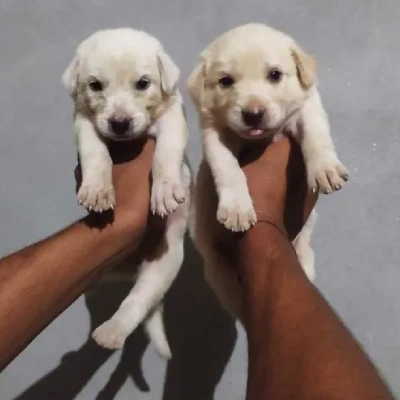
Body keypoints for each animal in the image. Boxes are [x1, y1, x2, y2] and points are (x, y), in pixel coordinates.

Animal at [63, 28, 191, 360]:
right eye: (95, 85)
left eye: (143, 83)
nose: (119, 123)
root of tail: (131, 268)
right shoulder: (84, 121)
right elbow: (94, 151)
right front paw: (97, 190)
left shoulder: (173, 116)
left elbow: (166, 152)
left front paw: (165, 190)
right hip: (108, 271)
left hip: (165, 262)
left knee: (137, 301)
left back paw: (111, 333)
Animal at [188, 21, 346, 322]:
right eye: (225, 81)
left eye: (275, 75)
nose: (253, 114)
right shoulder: (215, 133)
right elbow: (227, 168)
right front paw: (237, 209)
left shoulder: (307, 105)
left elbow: (315, 133)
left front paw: (325, 169)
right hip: (220, 274)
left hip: (303, 257)